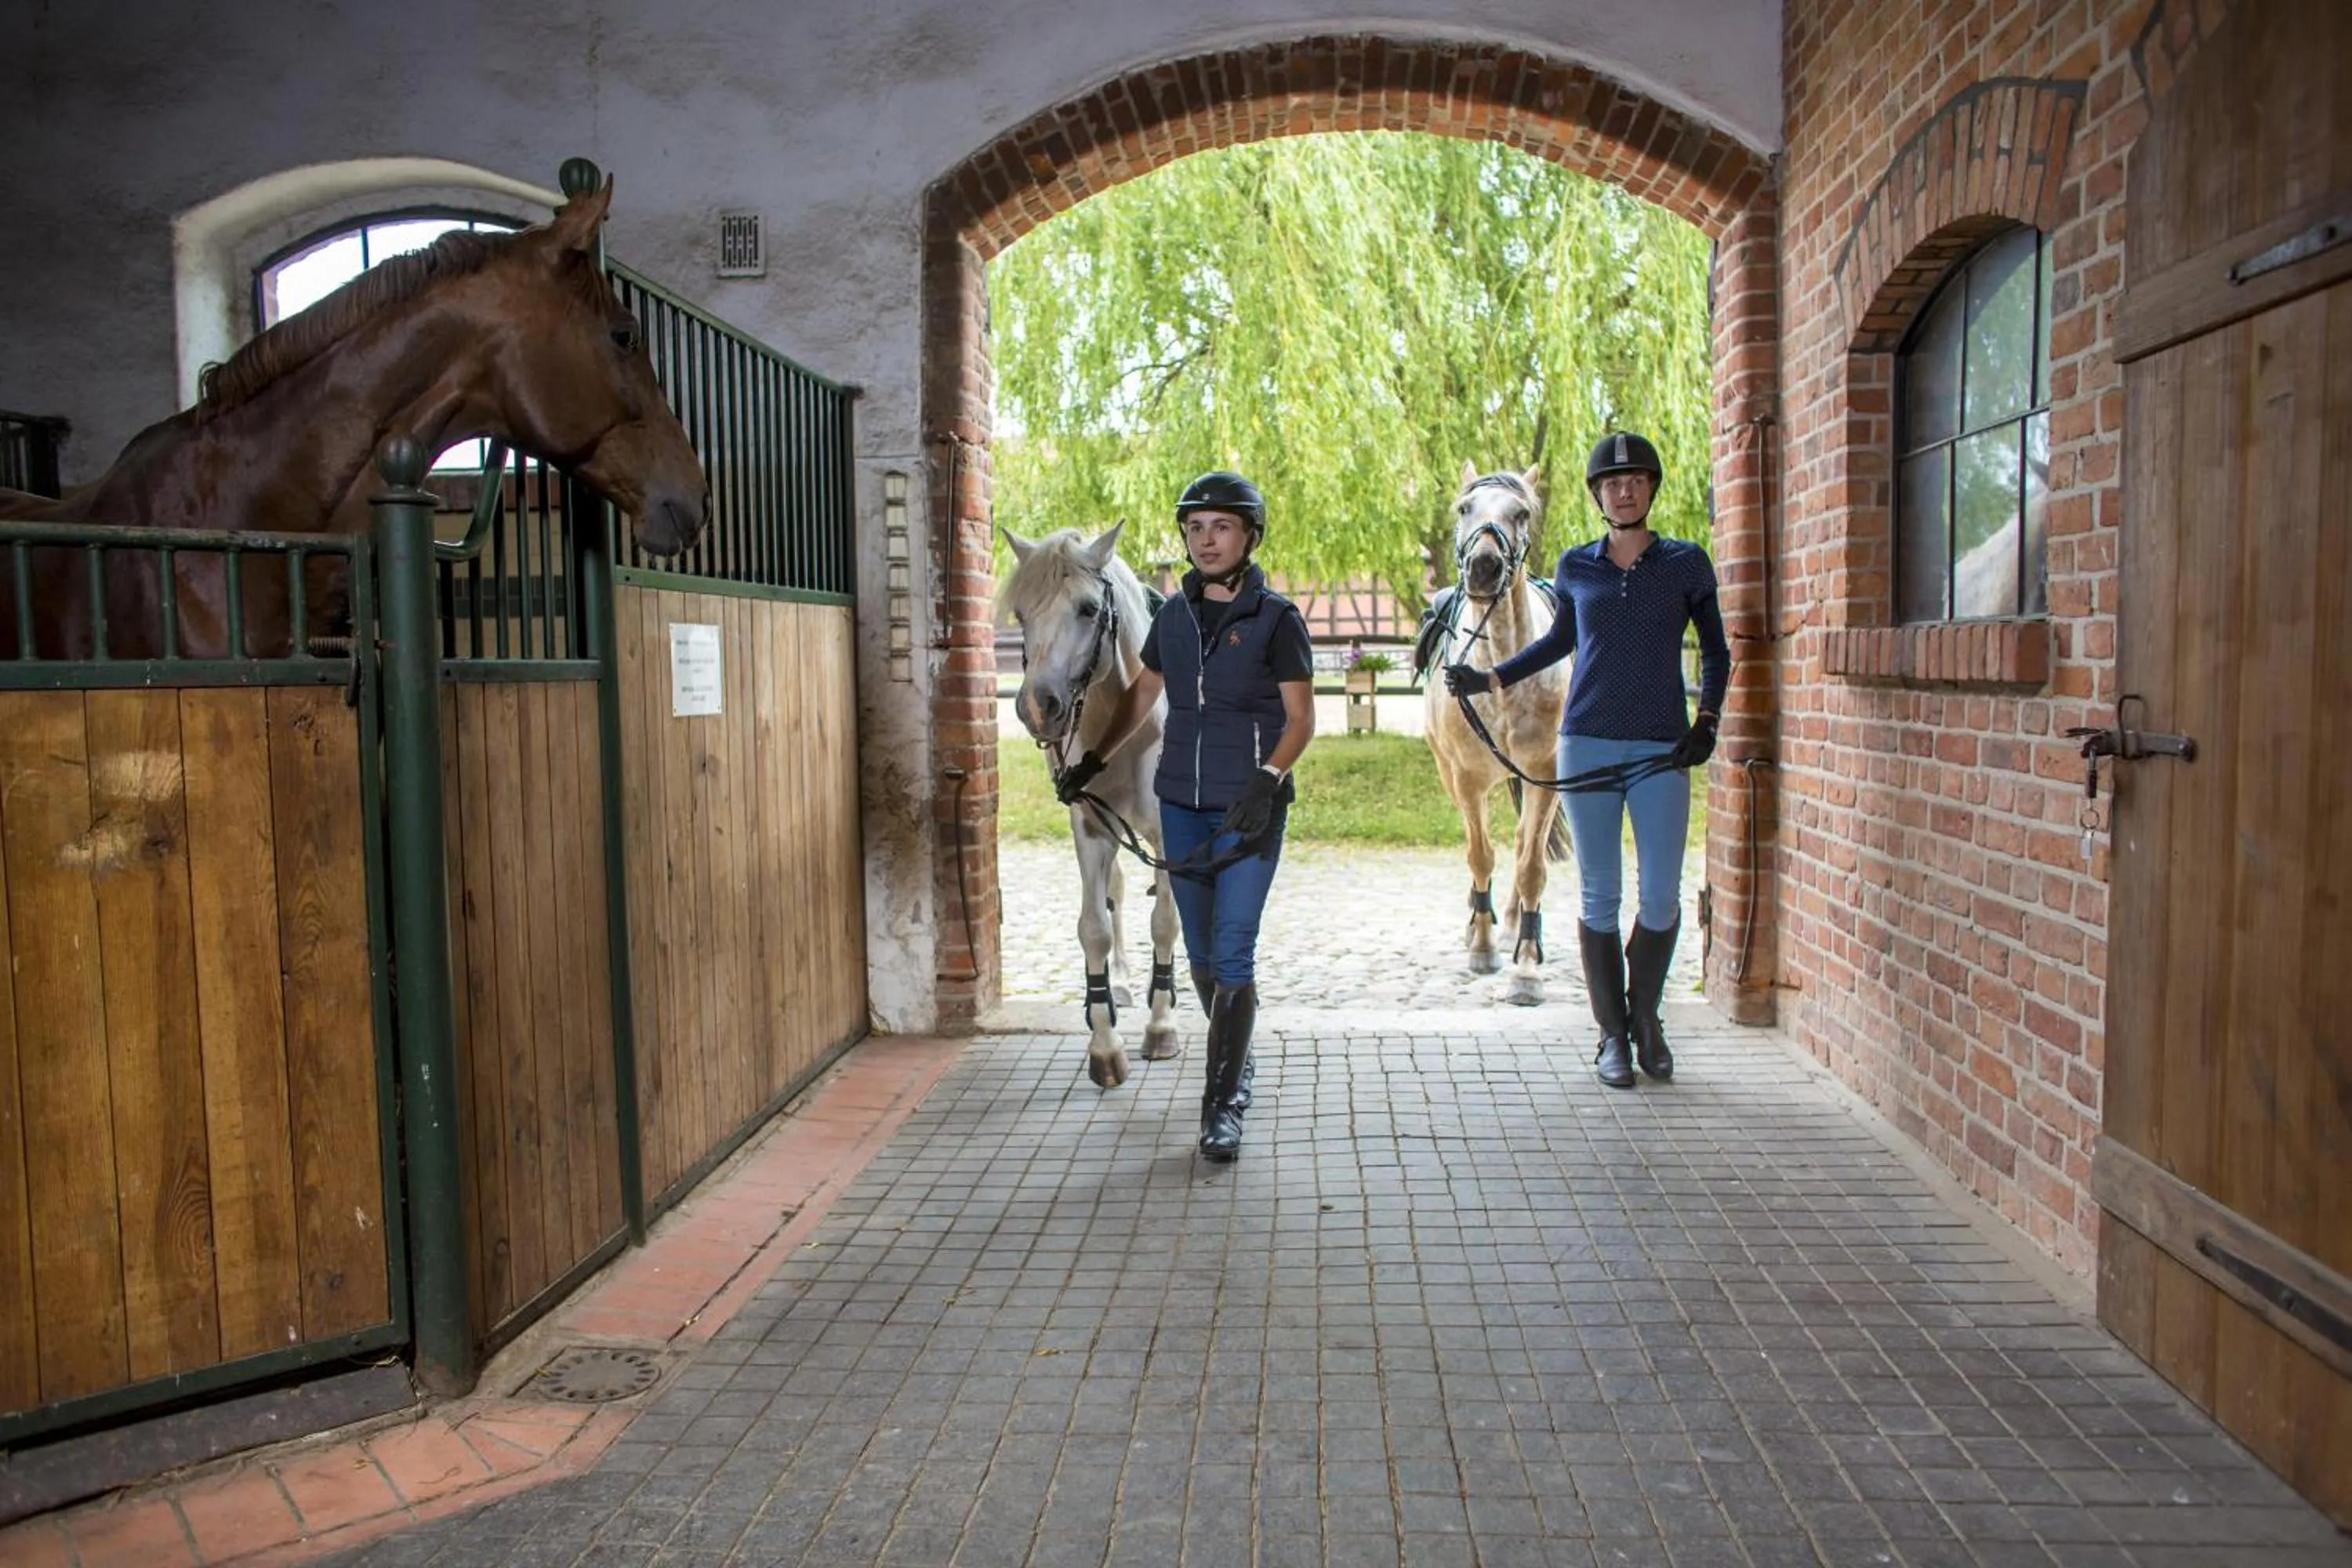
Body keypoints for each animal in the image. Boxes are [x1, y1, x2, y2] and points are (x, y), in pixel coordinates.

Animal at [999, 522, 1181, 1087]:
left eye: (1087, 608)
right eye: (1021, 614)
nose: (1038, 707)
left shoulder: (1170, 834)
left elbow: (1166, 922)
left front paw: (1162, 1027)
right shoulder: (1091, 828)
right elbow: (1094, 928)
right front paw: (1105, 1047)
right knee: (1116, 893)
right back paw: (1120, 982)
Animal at [1415, 462, 1572, 1005]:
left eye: (1521, 513)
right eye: (1465, 508)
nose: (1484, 568)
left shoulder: (1546, 774)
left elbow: (1530, 866)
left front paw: (1526, 968)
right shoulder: (1466, 779)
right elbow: (1480, 854)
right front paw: (1482, 947)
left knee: (1526, 844)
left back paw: (1518, 928)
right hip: (1449, 773)